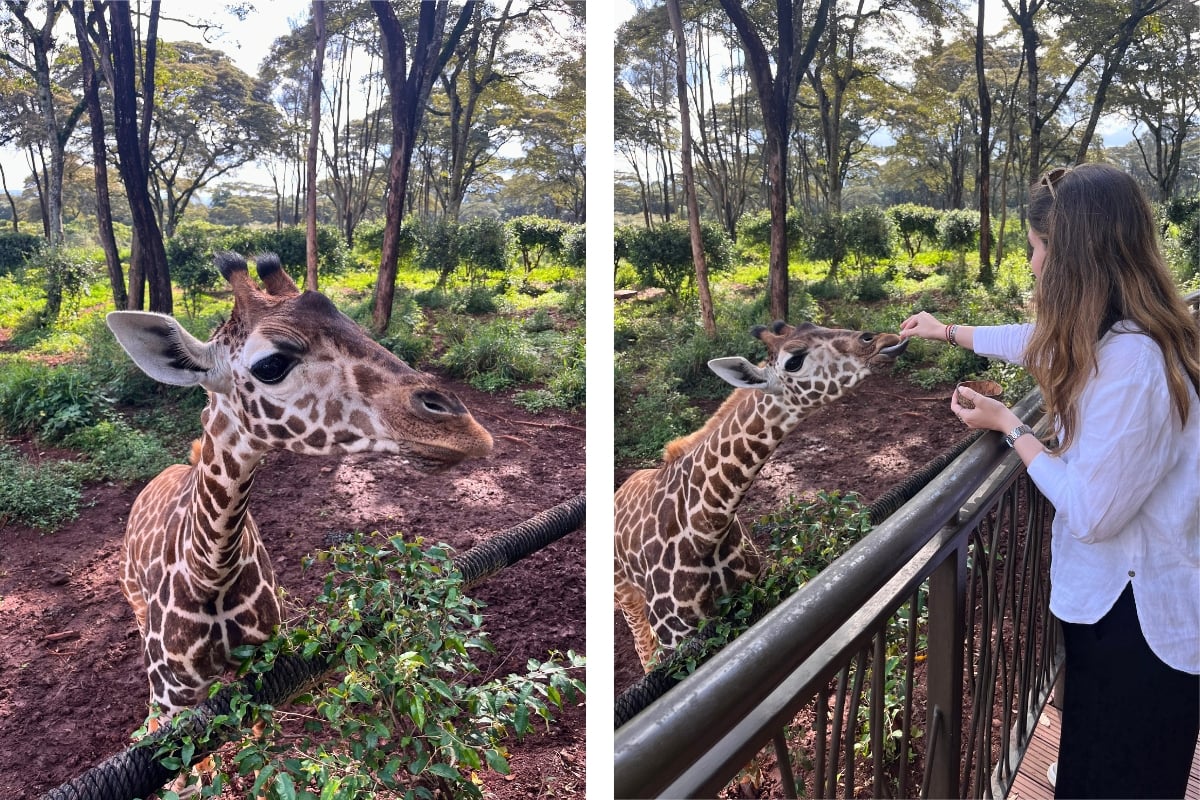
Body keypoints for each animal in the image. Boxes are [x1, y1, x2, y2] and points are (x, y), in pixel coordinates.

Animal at [106, 252, 494, 725]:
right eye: (271, 365)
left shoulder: (266, 664)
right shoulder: (171, 696)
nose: (466, 430)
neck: (211, 571)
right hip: (135, 606)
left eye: (357, 327)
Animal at [614, 320, 908, 671]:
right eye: (794, 361)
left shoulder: (748, 604)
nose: (884, 340)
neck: (707, 528)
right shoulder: (677, 638)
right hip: (625, 595)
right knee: (643, 650)